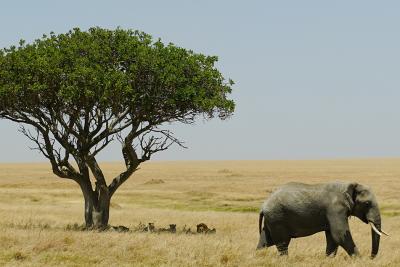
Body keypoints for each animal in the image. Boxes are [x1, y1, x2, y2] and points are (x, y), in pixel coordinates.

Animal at [256, 183, 388, 258]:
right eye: (367, 203)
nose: (371, 257)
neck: (348, 185)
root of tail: (263, 205)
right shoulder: (335, 209)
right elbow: (340, 234)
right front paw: (359, 260)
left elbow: (332, 238)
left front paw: (328, 259)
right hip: (277, 218)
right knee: (282, 242)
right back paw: (284, 260)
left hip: (272, 218)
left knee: (266, 241)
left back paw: (257, 256)